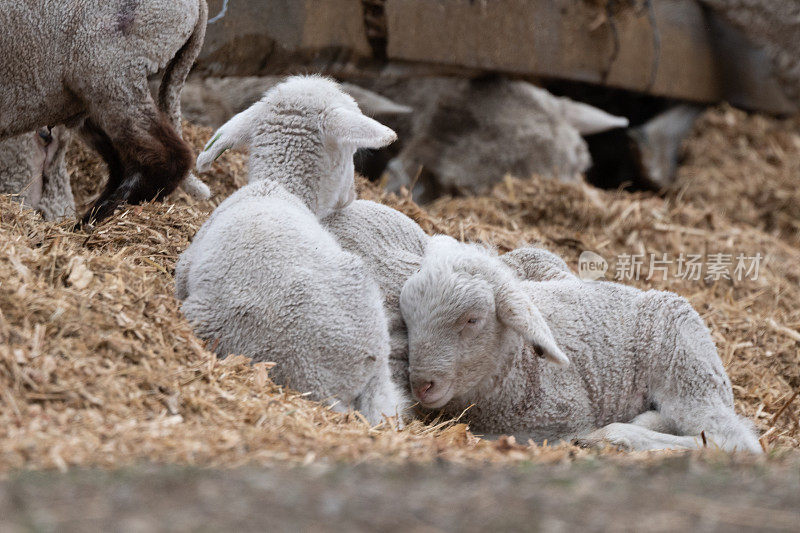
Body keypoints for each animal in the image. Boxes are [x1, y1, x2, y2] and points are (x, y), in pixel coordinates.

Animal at [0, 0, 209, 220]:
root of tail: (199, 5)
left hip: (111, 71)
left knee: (167, 157)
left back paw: (97, 218)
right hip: (90, 96)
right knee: (124, 165)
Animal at [400, 237, 764, 454]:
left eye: (472, 320)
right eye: (407, 317)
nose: (421, 385)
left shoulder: (563, 417)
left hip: (686, 364)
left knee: (733, 440)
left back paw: (614, 436)